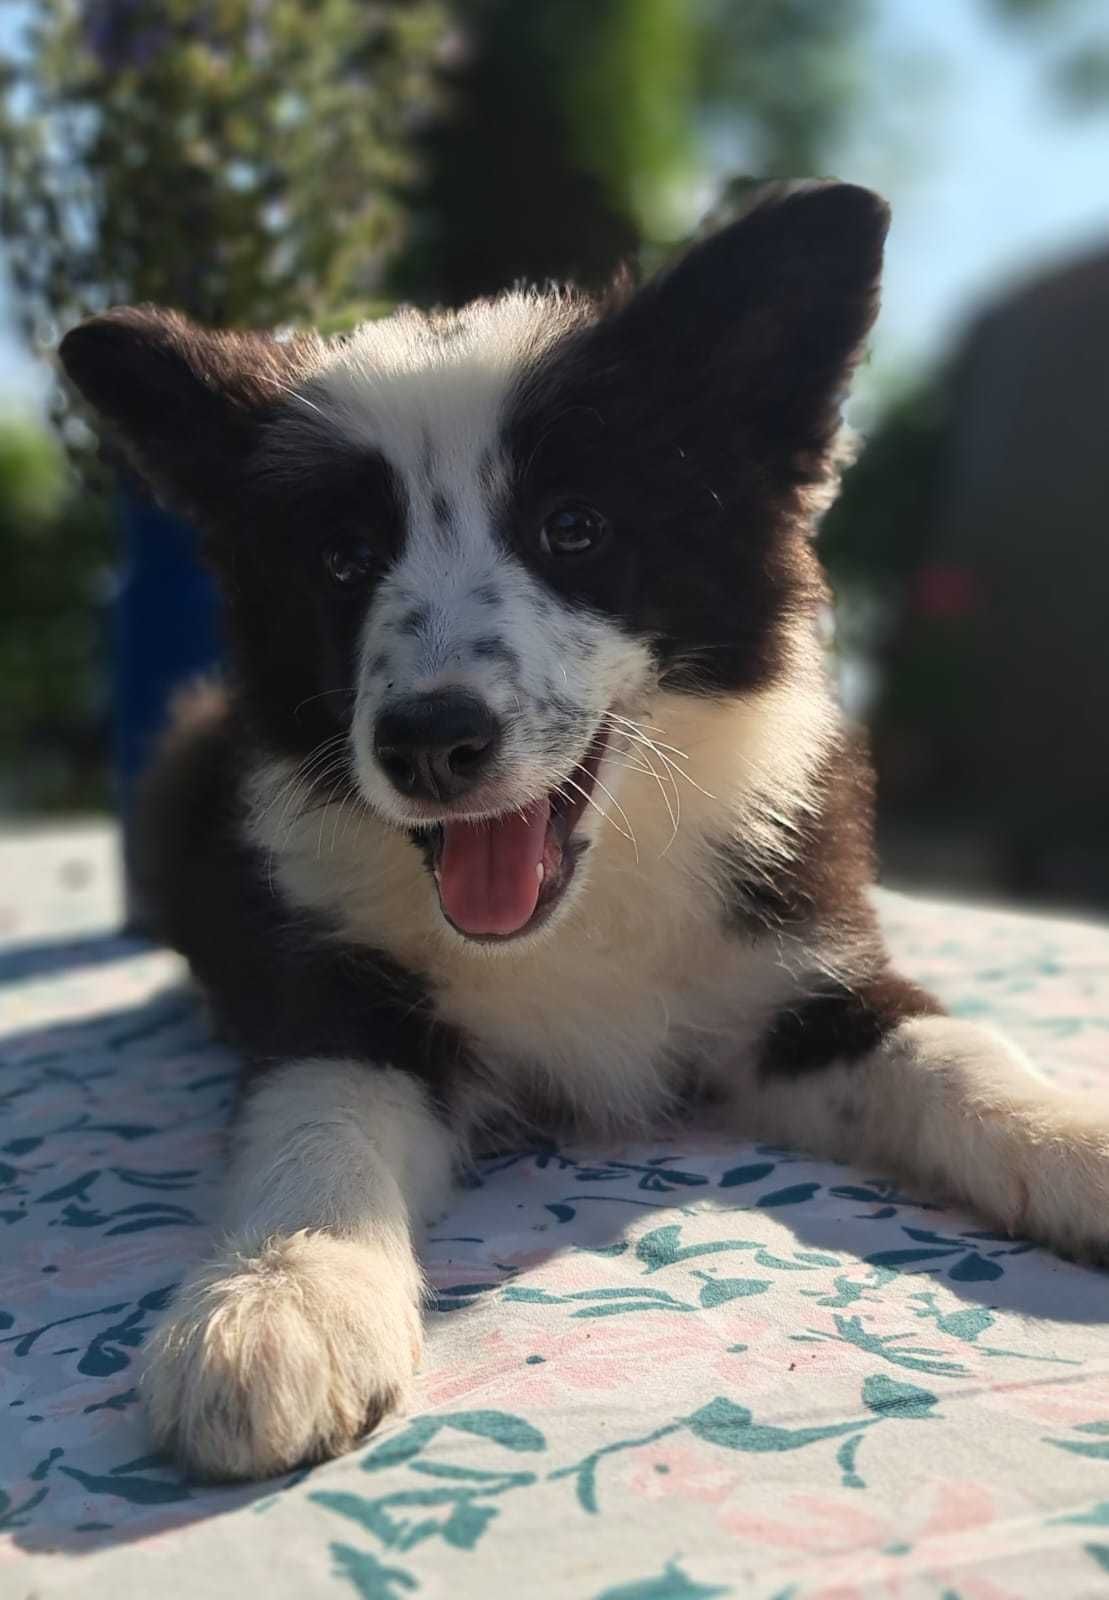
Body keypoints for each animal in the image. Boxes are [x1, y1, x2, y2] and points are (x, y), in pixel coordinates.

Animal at [58, 181, 1107, 1478]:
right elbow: (316, 1124)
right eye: (344, 560)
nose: (427, 742)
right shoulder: (339, 997)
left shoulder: (797, 970)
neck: (581, 910)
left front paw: (1074, 1136)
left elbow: (953, 1051)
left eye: (573, 527)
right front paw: (280, 1301)